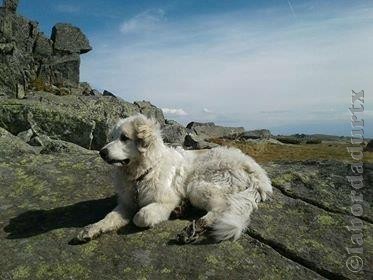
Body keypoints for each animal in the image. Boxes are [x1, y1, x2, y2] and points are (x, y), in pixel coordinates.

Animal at [75, 115, 270, 244]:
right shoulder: (126, 204)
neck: (143, 173)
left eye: (124, 138)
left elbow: (141, 216)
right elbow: (109, 217)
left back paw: (194, 226)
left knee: (222, 207)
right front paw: (91, 229)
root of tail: (255, 169)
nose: (102, 152)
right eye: (113, 137)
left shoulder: (165, 200)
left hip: (197, 185)